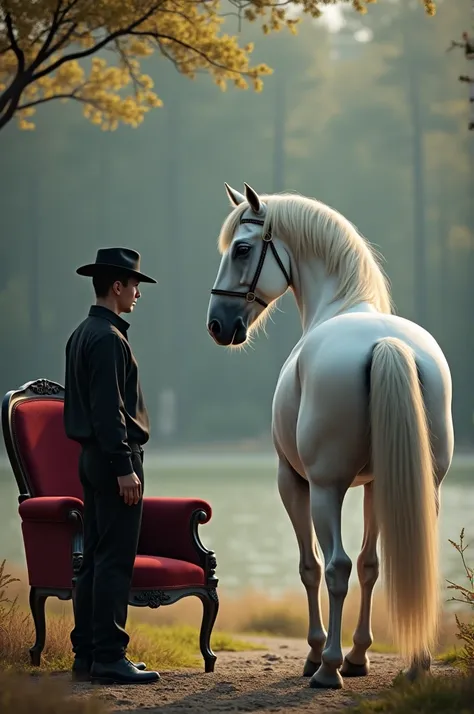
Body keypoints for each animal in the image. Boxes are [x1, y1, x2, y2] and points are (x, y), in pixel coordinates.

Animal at [207, 184, 456, 688]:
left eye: (241, 248)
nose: (218, 324)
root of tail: (386, 344)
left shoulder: (292, 480)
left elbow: (311, 566)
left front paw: (318, 652)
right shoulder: (378, 484)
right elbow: (370, 565)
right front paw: (360, 655)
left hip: (326, 487)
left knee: (335, 565)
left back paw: (327, 668)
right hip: (421, 486)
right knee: (389, 561)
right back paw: (413, 663)